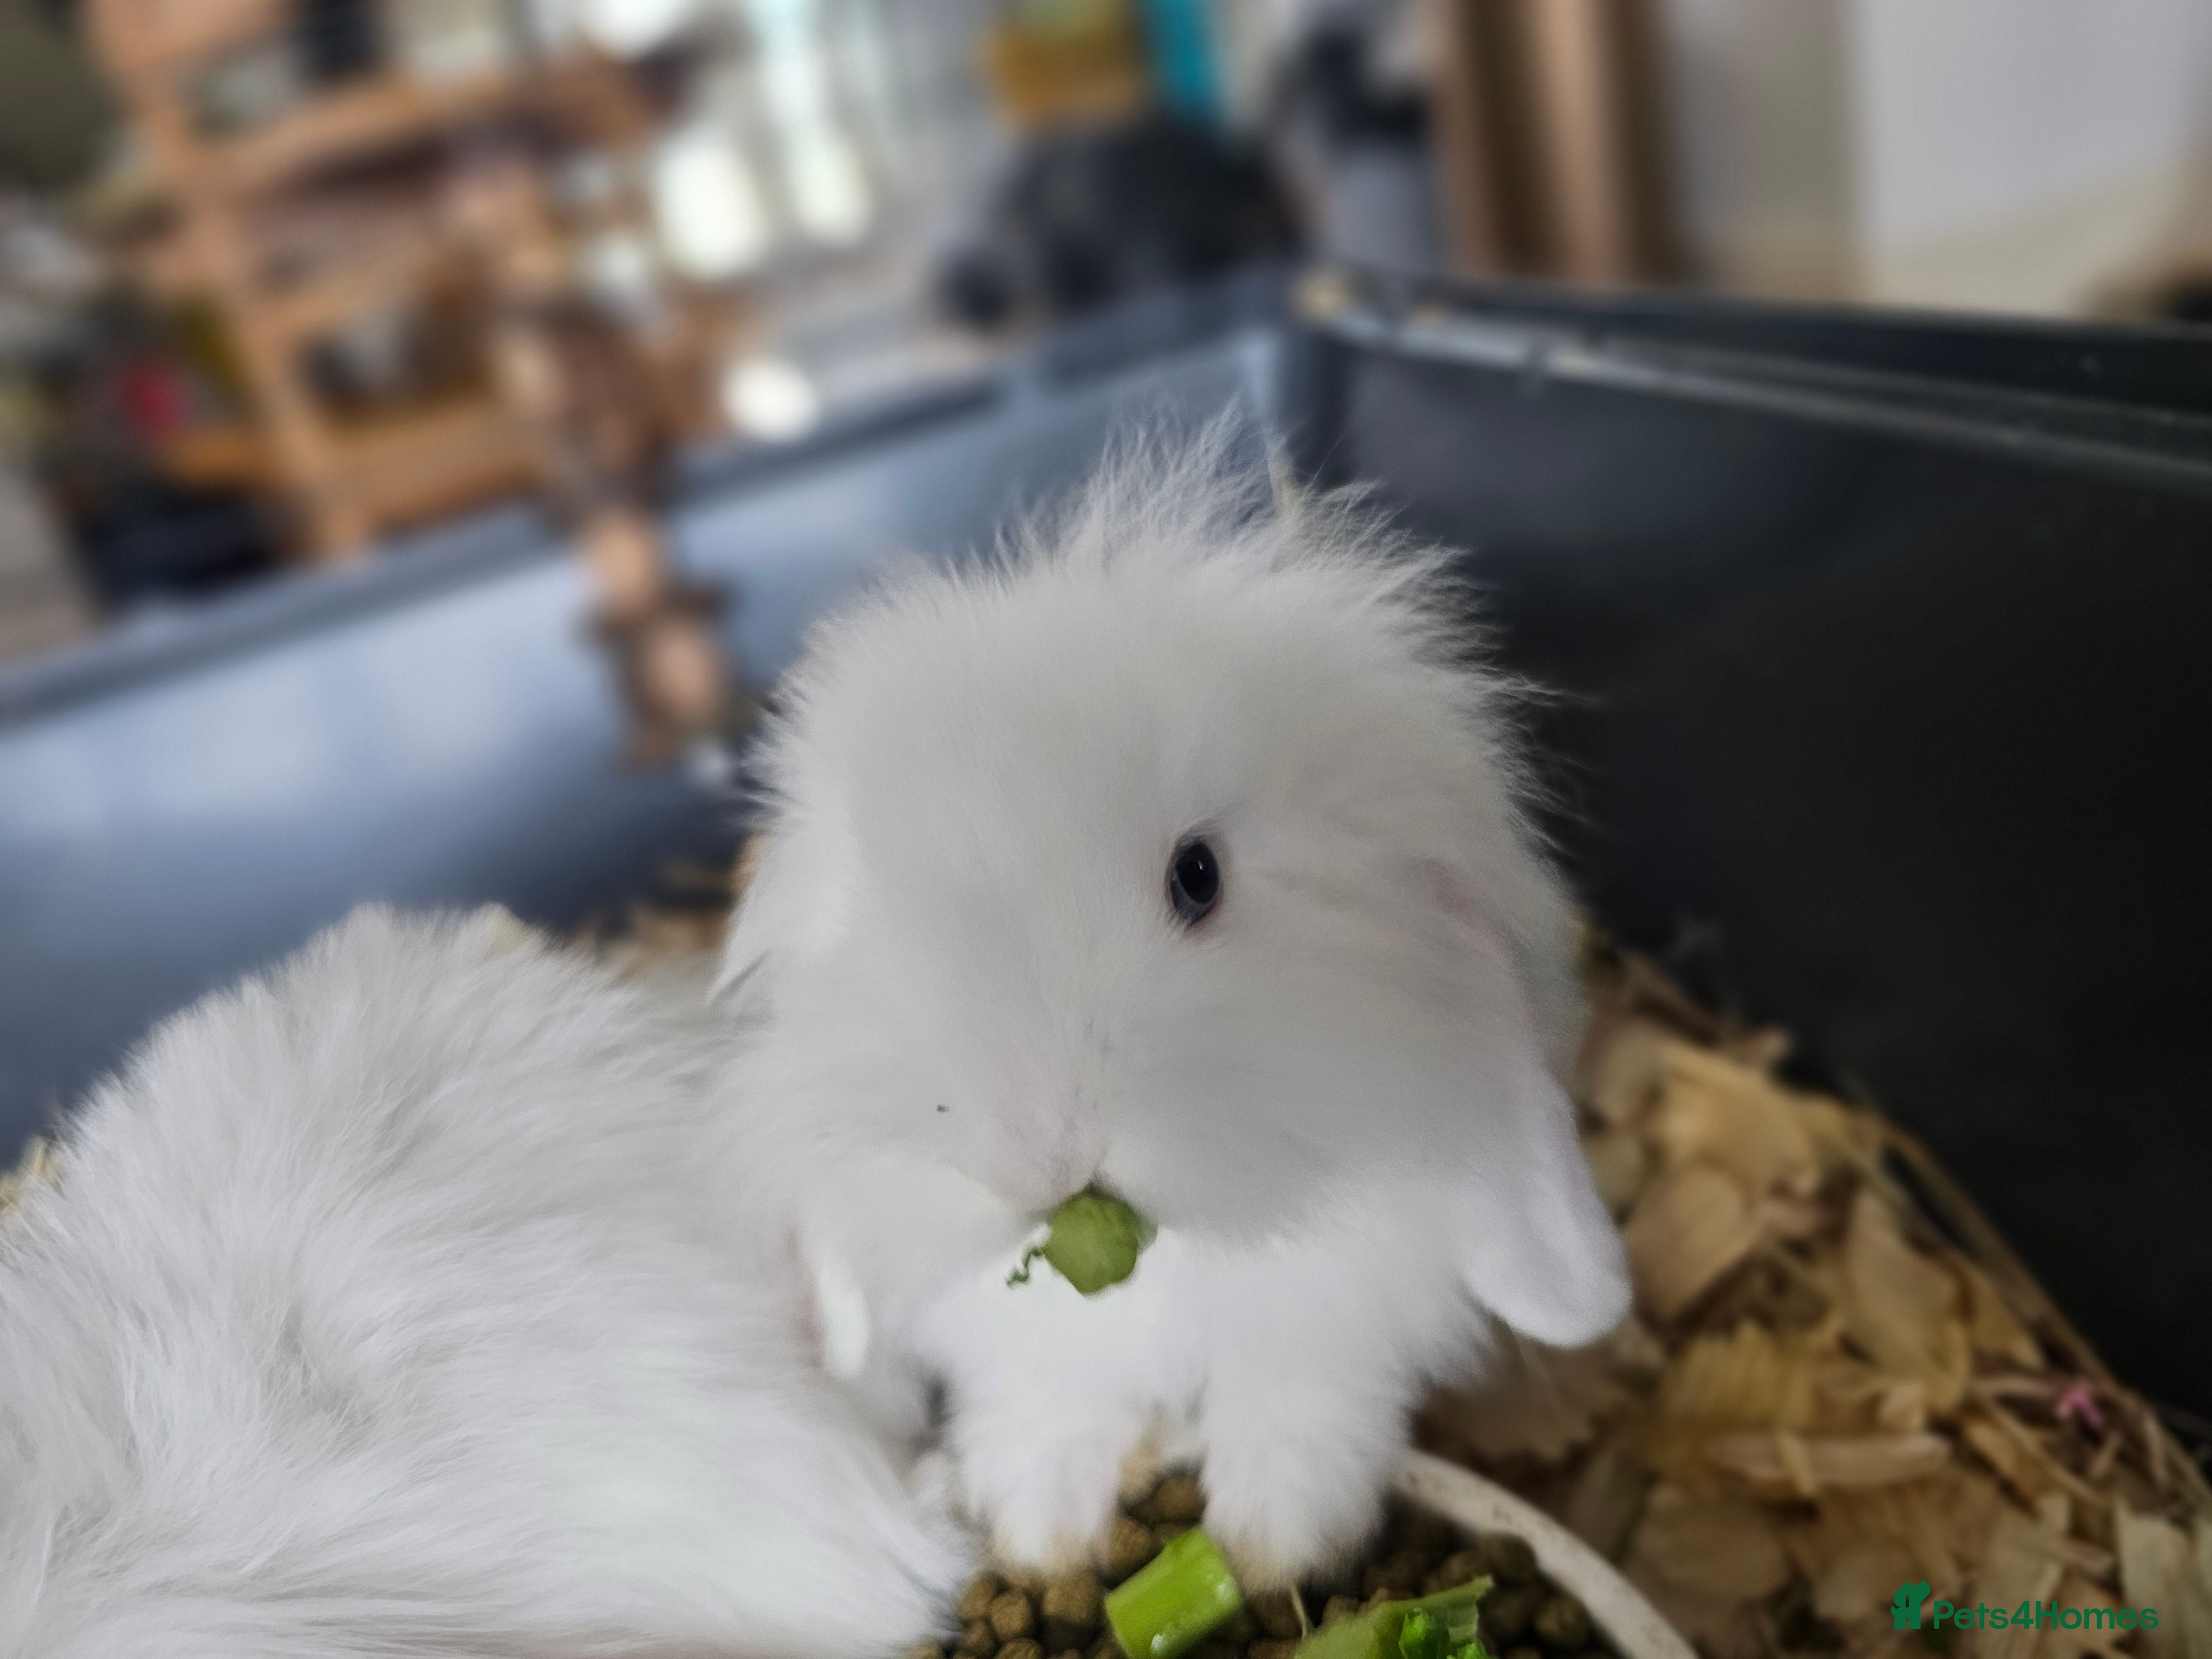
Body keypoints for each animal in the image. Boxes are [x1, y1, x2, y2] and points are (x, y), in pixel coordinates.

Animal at [710, 428, 1633, 1589]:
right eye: (879, 916)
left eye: (1199, 877)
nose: (1037, 1159)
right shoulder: (1031, 1348)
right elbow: (1050, 1409)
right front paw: (1039, 1534)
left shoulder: (1329, 1325)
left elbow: (1299, 1405)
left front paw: (1278, 1544)